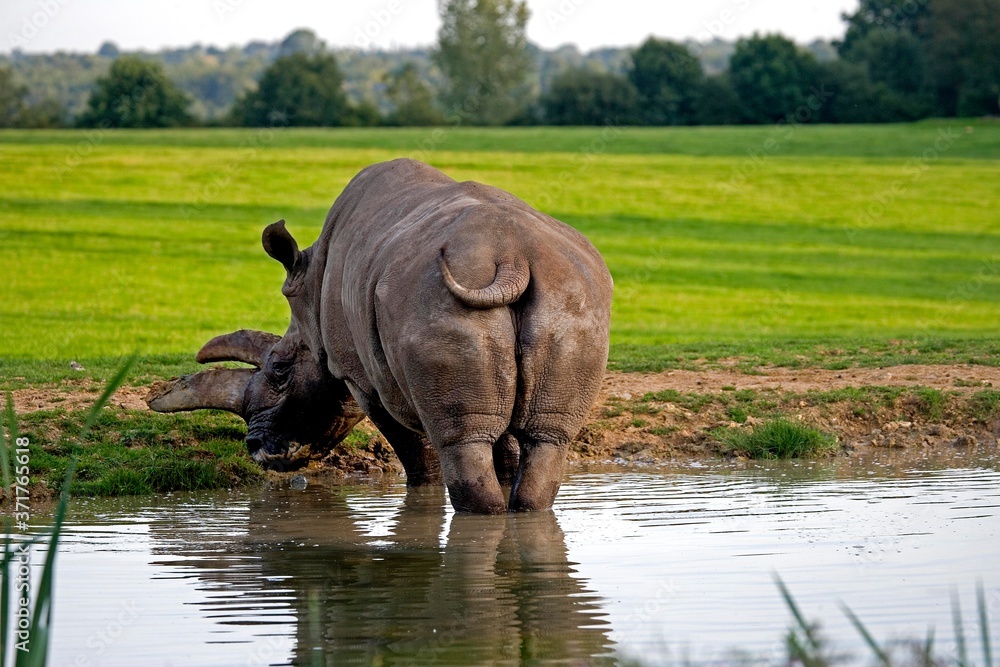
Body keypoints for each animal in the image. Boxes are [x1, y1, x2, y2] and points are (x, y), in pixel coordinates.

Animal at [148, 158, 613, 513]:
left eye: (279, 368)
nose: (257, 449)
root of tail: (512, 258)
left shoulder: (359, 375)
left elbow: (410, 445)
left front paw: (423, 494)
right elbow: (508, 451)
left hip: (433, 306)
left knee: (460, 442)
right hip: (571, 298)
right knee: (546, 438)